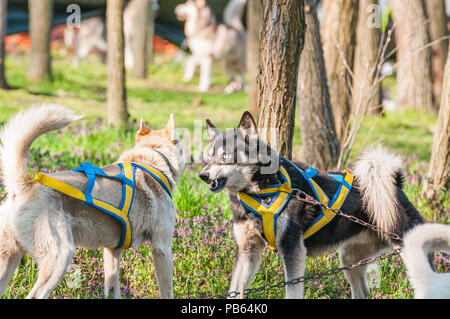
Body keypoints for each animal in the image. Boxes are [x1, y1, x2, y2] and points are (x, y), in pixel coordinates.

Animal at [0, 105, 185, 300]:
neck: (150, 161)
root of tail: (23, 185)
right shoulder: (162, 247)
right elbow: (167, 290)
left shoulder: (112, 251)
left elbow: (112, 289)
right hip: (60, 256)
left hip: (8, 260)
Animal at [200, 113, 426, 300]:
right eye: (209, 156)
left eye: (226, 156)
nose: (202, 175)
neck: (262, 192)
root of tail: (395, 183)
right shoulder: (248, 250)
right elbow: (234, 290)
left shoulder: (293, 248)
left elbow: (292, 292)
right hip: (349, 258)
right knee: (362, 291)